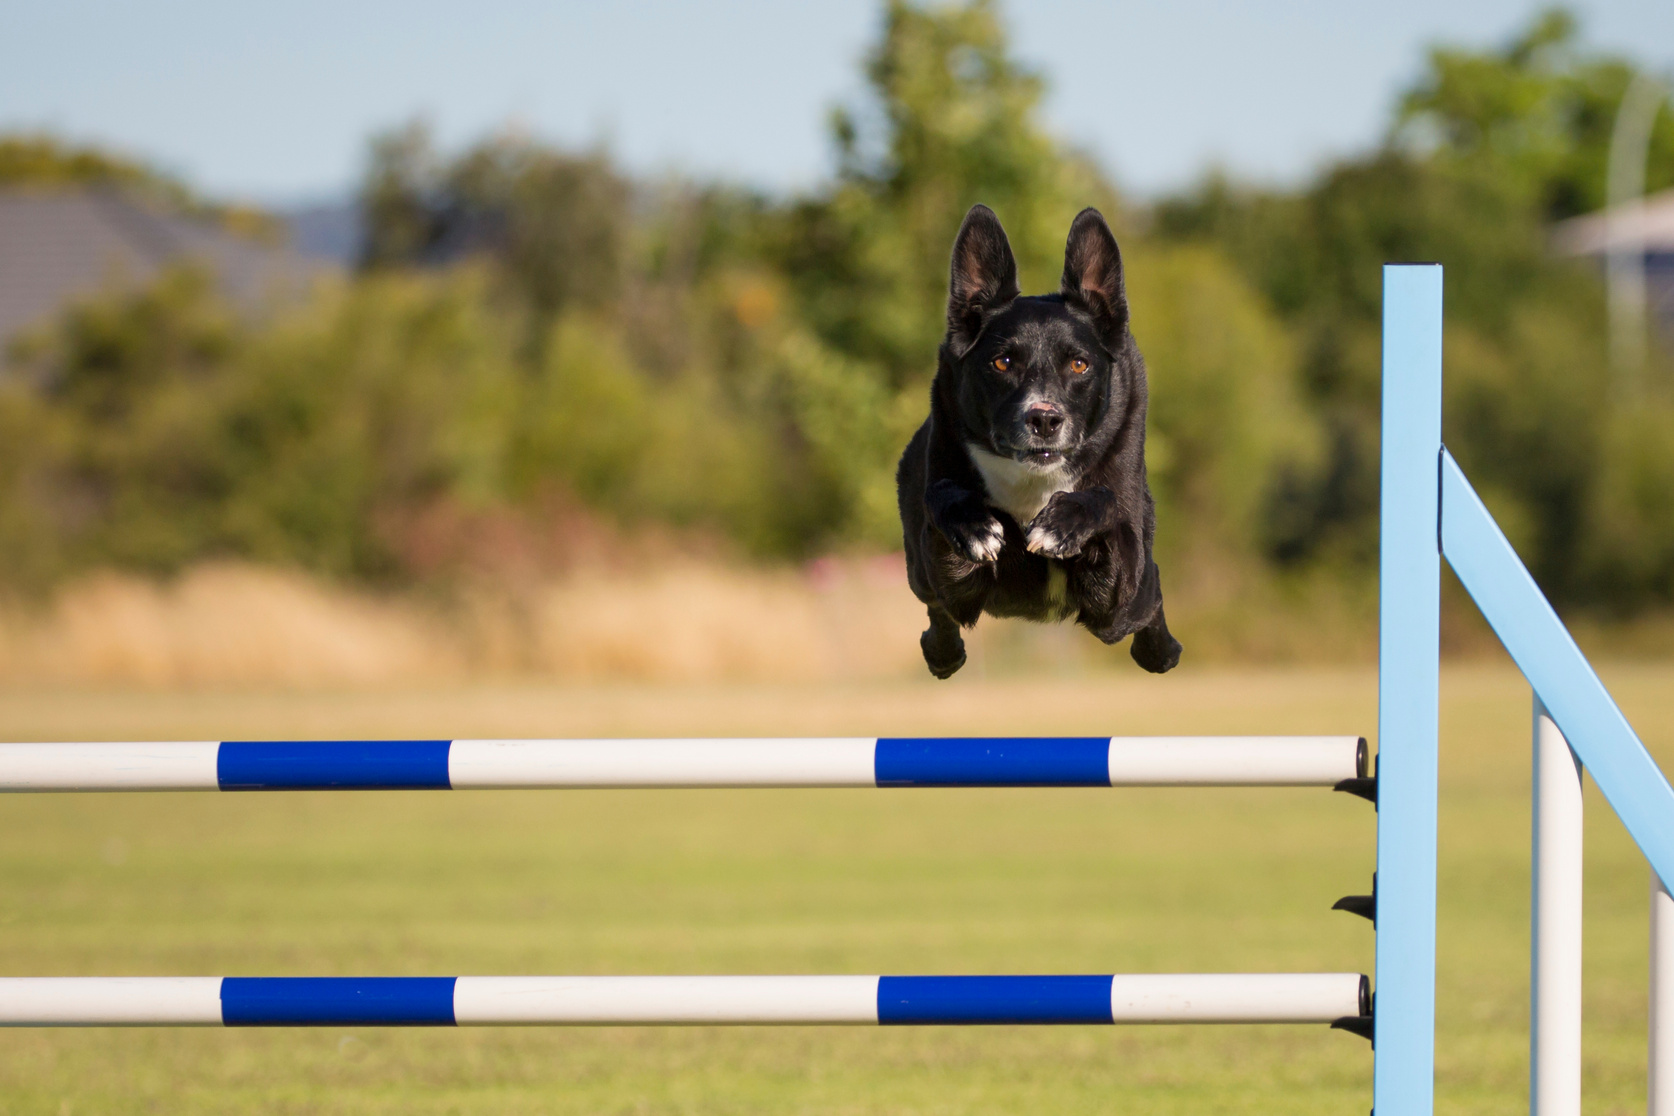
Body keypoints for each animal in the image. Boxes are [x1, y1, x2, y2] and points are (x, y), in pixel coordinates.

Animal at [903, 206, 1178, 682]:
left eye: (1079, 364)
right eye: (1002, 362)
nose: (1045, 419)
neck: (1033, 481)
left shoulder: (1117, 593)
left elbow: (1104, 500)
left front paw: (1062, 523)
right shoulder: (953, 578)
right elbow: (943, 494)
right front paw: (973, 526)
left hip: (1129, 606)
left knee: (1153, 593)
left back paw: (1160, 651)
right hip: (919, 571)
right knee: (935, 609)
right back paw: (941, 654)